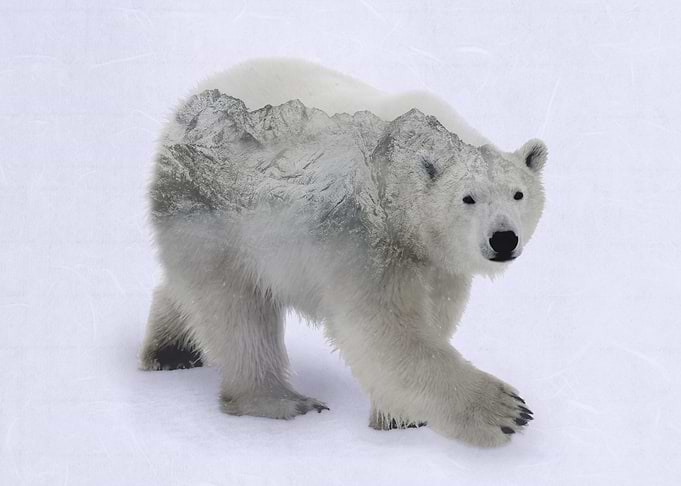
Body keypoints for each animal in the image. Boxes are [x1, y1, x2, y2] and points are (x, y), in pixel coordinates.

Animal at [139, 58, 546, 448]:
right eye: (468, 198)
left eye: (518, 194)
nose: (503, 239)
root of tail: (183, 108)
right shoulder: (366, 236)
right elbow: (383, 330)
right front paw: (505, 410)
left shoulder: (434, 259)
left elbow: (435, 313)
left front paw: (398, 416)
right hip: (216, 211)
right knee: (237, 311)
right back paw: (280, 400)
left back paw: (171, 350)